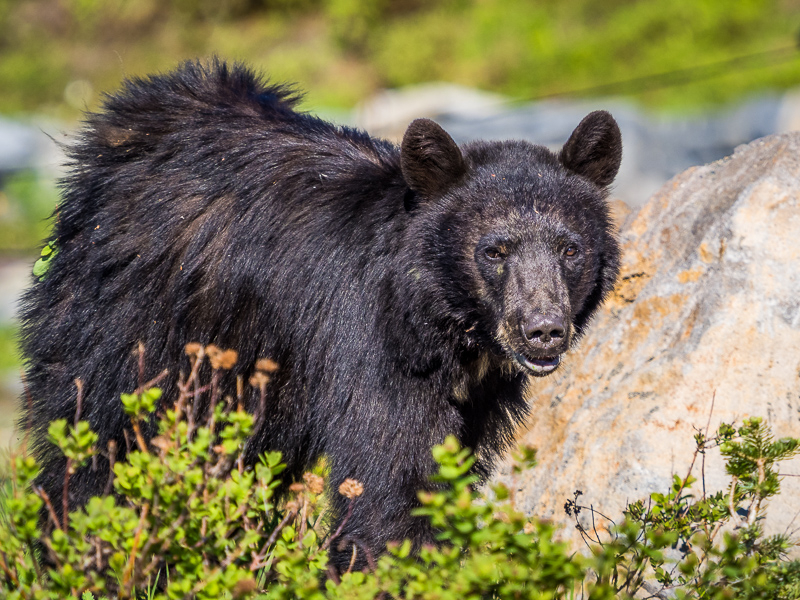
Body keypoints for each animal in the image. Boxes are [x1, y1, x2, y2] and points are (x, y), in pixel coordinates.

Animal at [17, 58, 620, 568]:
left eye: (570, 249)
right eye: (494, 250)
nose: (543, 331)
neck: (442, 323)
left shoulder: (478, 398)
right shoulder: (373, 347)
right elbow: (390, 484)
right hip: (133, 319)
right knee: (99, 445)